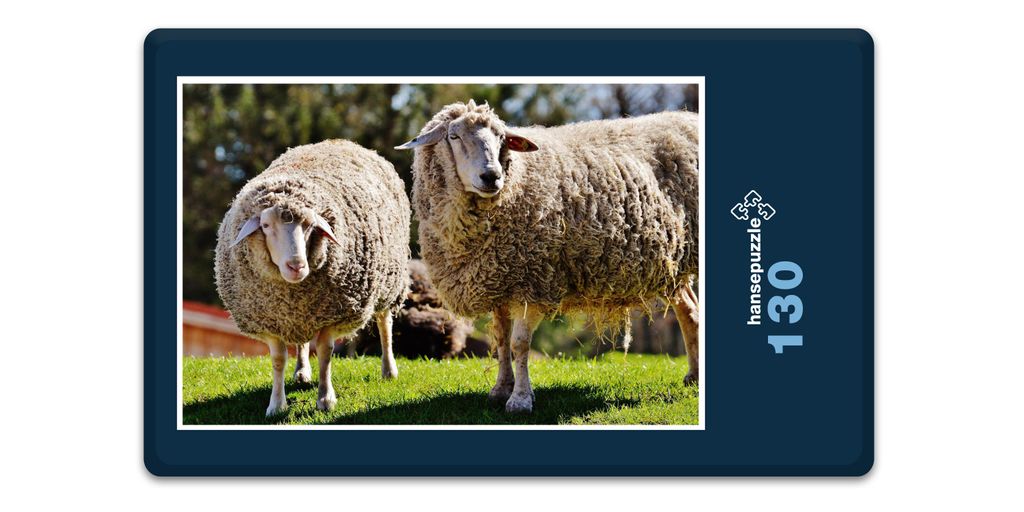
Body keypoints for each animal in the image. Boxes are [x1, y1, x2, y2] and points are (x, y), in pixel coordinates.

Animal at [214, 139, 410, 417]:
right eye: (265, 226)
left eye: (309, 226)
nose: (297, 266)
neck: (291, 293)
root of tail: (342, 141)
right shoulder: (272, 321)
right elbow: (278, 359)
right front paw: (276, 404)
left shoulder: (334, 316)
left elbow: (326, 354)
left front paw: (326, 399)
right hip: (303, 315)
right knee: (302, 343)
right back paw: (302, 372)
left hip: (391, 282)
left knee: (385, 324)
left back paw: (388, 369)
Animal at [396, 100, 699, 414]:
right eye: (453, 136)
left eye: (501, 138)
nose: (492, 176)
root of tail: (688, 118)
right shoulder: (498, 281)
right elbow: (501, 340)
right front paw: (500, 389)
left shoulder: (532, 282)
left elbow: (519, 344)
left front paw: (520, 399)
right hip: (672, 265)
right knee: (690, 312)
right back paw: (693, 376)